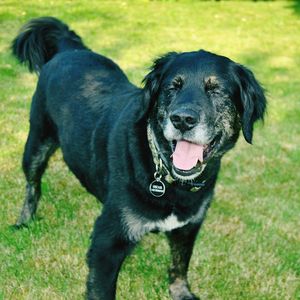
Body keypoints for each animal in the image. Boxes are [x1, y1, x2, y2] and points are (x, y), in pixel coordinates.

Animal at [11, 17, 266, 300]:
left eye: (216, 90)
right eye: (172, 87)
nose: (182, 119)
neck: (168, 177)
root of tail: (69, 49)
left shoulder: (188, 227)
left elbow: (180, 264)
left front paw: (181, 292)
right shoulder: (106, 244)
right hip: (36, 142)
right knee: (33, 185)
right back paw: (24, 221)